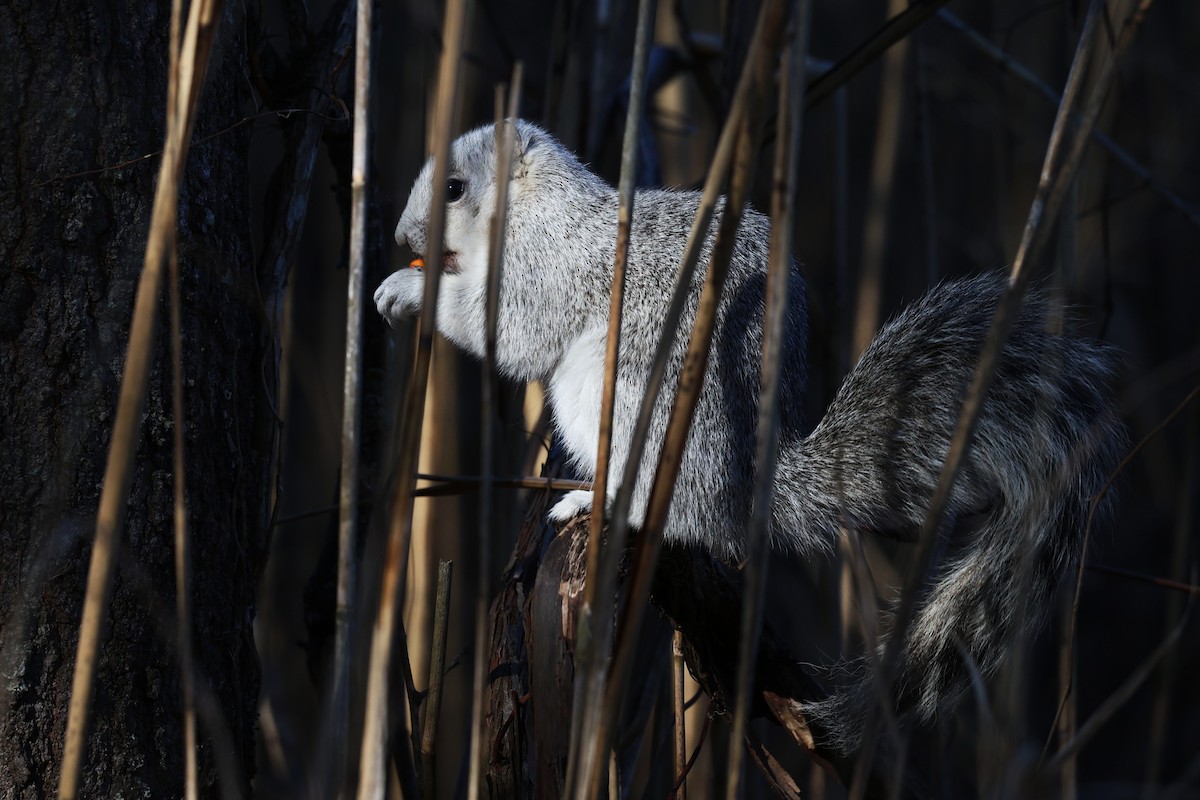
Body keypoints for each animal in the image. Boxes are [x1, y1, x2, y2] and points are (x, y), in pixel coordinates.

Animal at [374, 120, 1124, 750]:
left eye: (454, 187)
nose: (404, 241)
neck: (540, 205)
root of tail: (741, 484)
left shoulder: (549, 266)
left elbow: (511, 329)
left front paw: (409, 294)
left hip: (626, 401)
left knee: (666, 511)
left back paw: (597, 499)